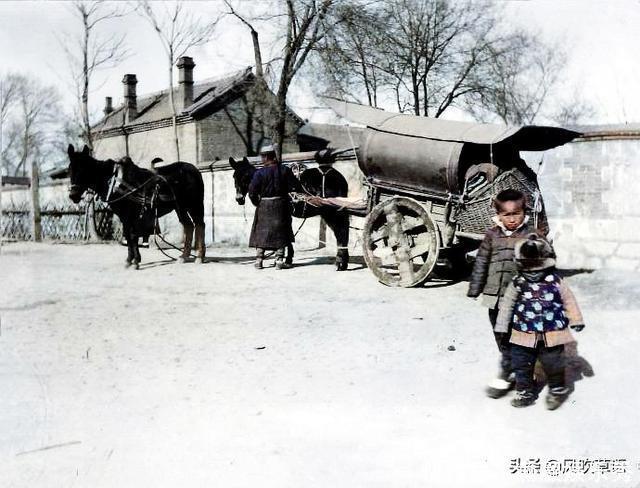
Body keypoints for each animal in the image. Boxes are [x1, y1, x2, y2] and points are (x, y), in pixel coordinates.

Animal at [65, 143, 205, 268]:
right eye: (70, 169)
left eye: (83, 169)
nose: (73, 195)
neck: (115, 182)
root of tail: (194, 169)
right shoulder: (124, 217)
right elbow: (128, 235)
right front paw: (130, 260)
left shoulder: (130, 215)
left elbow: (132, 236)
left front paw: (135, 261)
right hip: (180, 207)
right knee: (189, 226)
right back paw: (184, 256)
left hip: (194, 205)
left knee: (199, 225)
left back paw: (199, 256)